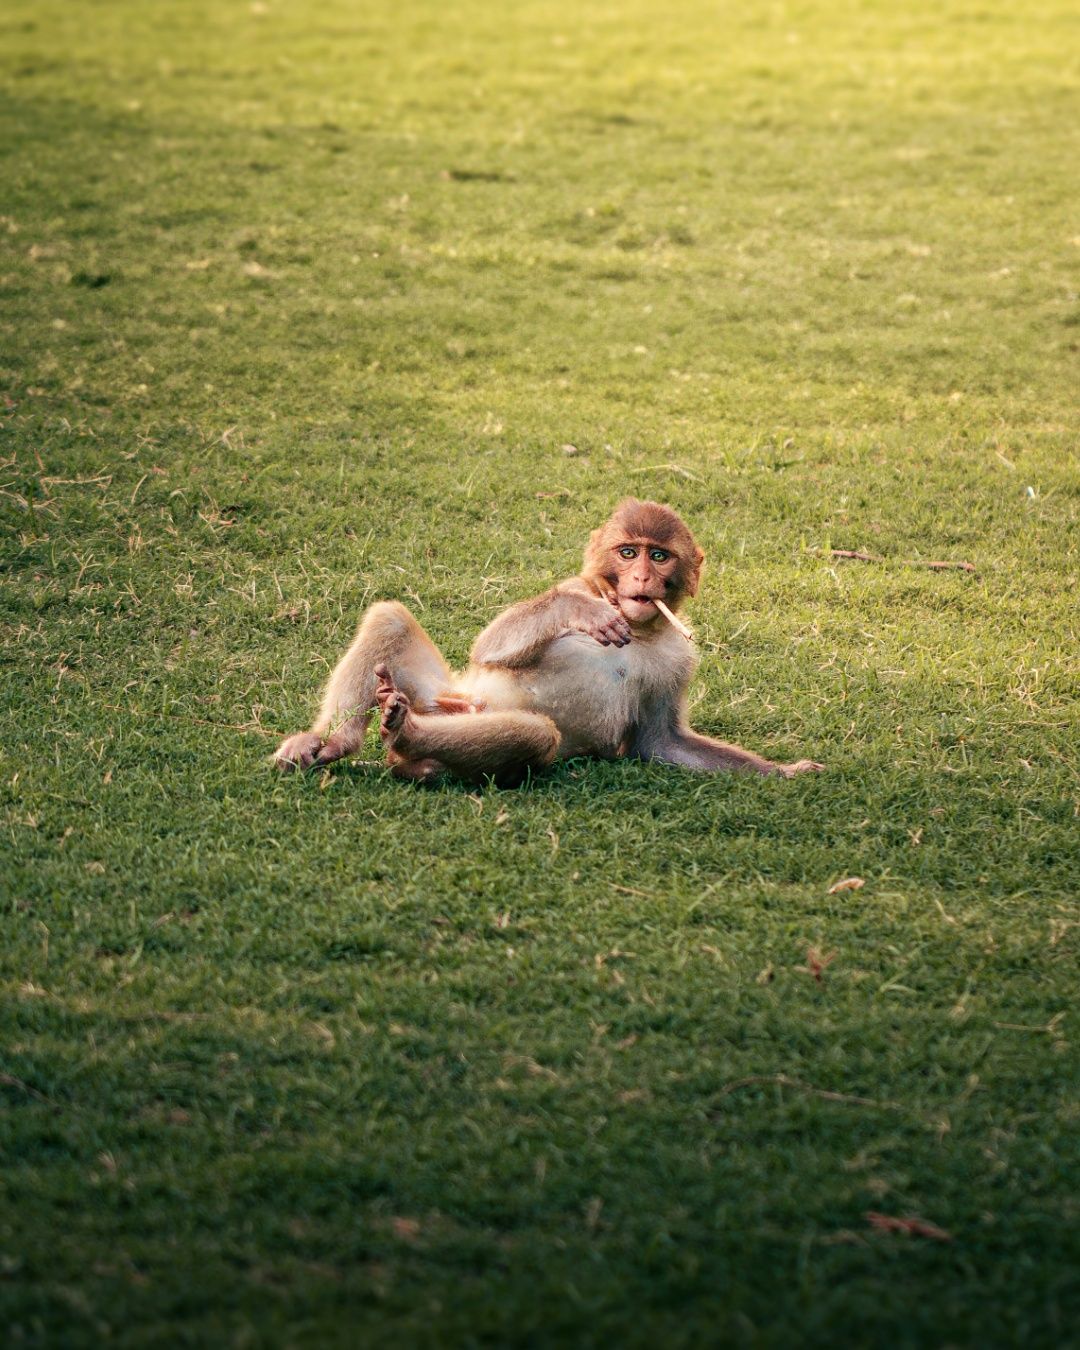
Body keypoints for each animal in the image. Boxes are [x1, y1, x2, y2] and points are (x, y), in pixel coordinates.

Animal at [274, 499, 824, 785]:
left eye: (660, 556)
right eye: (628, 553)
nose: (643, 578)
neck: (642, 631)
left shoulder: (680, 658)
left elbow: (660, 742)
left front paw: (785, 771)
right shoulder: (581, 586)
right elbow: (490, 644)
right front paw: (579, 614)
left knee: (531, 737)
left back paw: (413, 747)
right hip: (446, 691)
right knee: (393, 621)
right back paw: (339, 739)